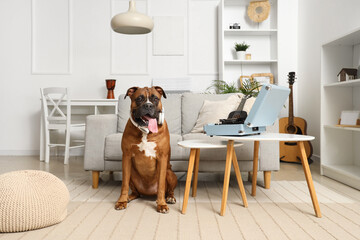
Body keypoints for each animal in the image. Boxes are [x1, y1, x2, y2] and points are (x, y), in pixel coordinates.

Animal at [115, 86, 177, 214]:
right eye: (139, 98)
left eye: (155, 99)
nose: (148, 105)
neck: (146, 132)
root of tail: (148, 193)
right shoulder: (126, 157)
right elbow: (124, 185)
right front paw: (121, 201)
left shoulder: (162, 158)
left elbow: (161, 186)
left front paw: (162, 204)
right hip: (131, 174)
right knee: (136, 193)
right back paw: (128, 197)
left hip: (170, 173)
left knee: (169, 190)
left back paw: (170, 198)